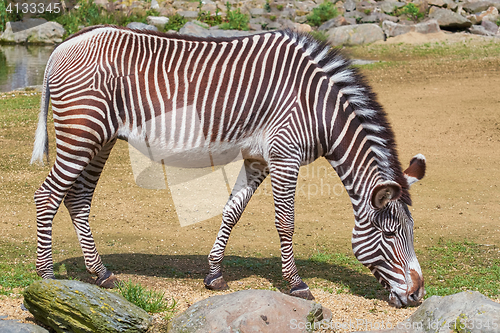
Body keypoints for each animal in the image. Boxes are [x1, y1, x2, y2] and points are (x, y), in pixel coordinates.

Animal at [30, 25, 426, 306]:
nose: (418, 295)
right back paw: (46, 277)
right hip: (82, 133)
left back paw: (101, 274)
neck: (319, 108)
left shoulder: (258, 158)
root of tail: (64, 44)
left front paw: (214, 274)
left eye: (410, 232)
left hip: (100, 138)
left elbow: (233, 211)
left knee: (78, 200)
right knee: (47, 196)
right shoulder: (285, 154)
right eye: (389, 235)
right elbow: (285, 222)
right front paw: (296, 283)